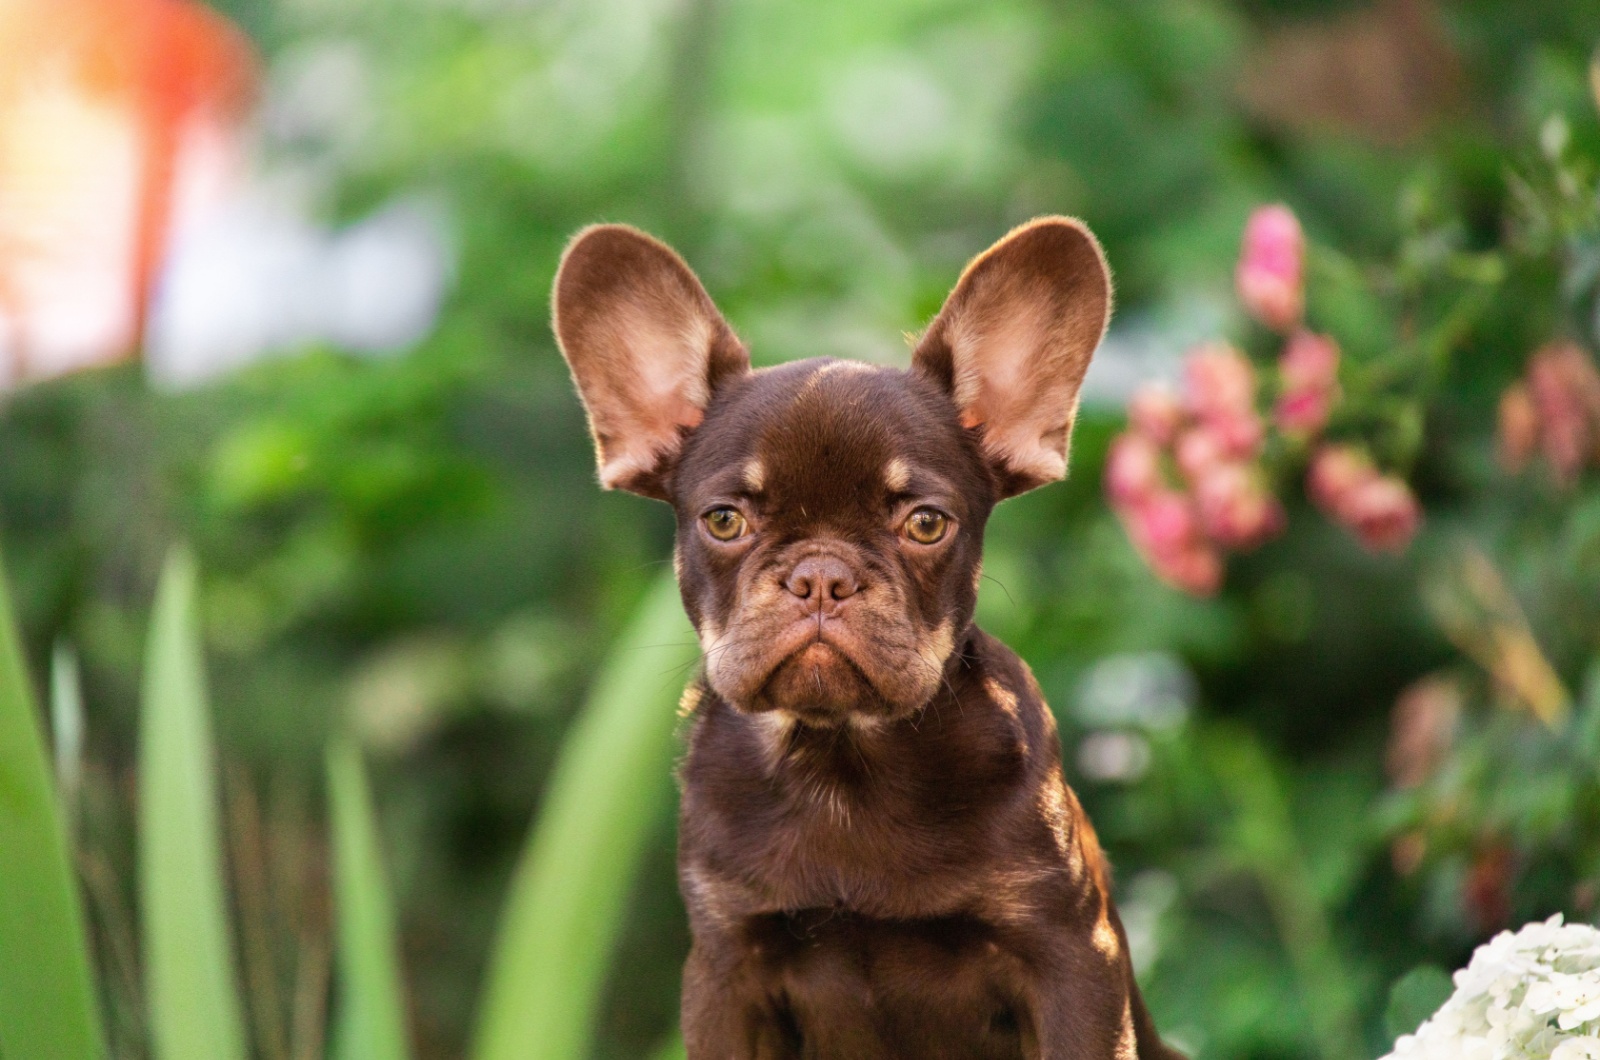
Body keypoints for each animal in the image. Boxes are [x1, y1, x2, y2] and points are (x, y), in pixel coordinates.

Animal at [556, 222, 1184, 1060]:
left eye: (925, 523)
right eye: (724, 520)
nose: (822, 574)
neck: (840, 760)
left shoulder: (1071, 960)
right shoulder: (726, 968)